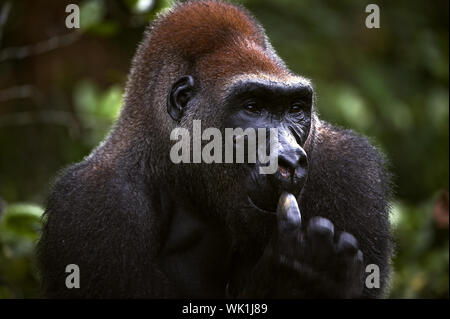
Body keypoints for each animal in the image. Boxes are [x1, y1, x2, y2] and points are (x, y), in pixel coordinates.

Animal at [37, 0, 392, 300]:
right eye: (252, 107)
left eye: (295, 109)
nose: (290, 159)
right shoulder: (93, 203)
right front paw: (298, 278)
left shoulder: (351, 167)